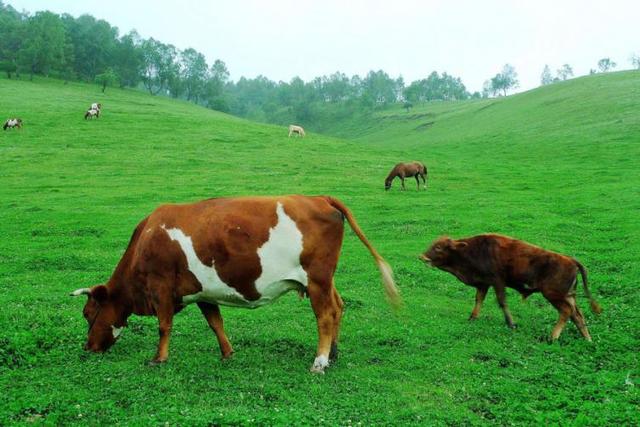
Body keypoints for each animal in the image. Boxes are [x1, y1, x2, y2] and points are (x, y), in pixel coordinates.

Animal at [71, 196, 400, 372]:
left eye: (88, 314)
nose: (87, 348)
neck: (147, 237)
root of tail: (318, 197)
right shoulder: (203, 292)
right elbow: (216, 323)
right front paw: (228, 353)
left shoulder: (160, 287)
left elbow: (164, 326)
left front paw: (159, 359)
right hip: (323, 280)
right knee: (339, 306)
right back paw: (333, 352)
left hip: (317, 279)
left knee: (325, 315)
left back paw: (319, 361)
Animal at [420, 234, 600, 342]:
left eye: (438, 247)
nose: (422, 256)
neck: (470, 249)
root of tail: (571, 260)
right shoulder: (484, 284)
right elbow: (479, 300)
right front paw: (472, 318)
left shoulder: (497, 281)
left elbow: (502, 302)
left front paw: (511, 324)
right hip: (568, 296)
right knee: (578, 315)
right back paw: (587, 339)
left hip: (553, 295)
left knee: (566, 312)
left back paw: (552, 337)